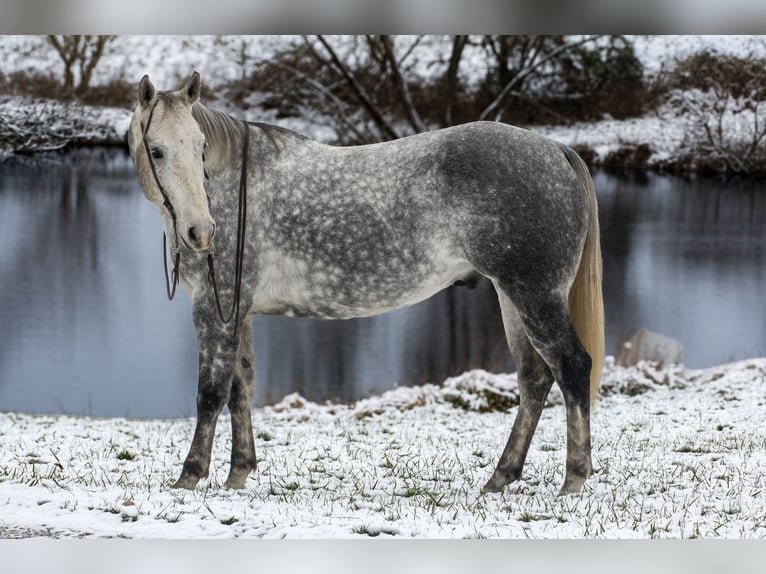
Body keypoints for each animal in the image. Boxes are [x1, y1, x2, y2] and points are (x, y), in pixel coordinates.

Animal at [127, 72, 604, 496]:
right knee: (534, 379)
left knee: (572, 369)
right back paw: (501, 477)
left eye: (200, 147)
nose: (201, 232)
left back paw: (573, 480)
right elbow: (241, 389)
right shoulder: (237, 309)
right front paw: (237, 475)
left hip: (535, 295)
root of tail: (556, 149)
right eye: (157, 151)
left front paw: (190, 476)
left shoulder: (216, 306)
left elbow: (210, 393)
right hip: (511, 296)